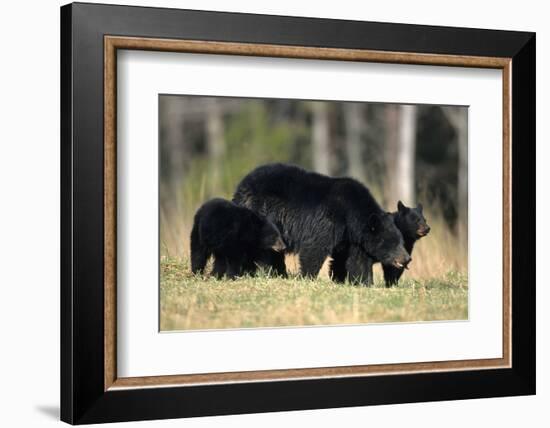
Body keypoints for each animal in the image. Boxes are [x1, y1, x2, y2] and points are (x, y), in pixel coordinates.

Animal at [233, 162, 410, 282]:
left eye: (401, 241)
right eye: (393, 243)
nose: (407, 258)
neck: (352, 216)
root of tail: (241, 185)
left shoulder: (352, 238)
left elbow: (356, 260)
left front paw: (362, 281)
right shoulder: (329, 220)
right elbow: (315, 247)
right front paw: (307, 277)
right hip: (261, 212)